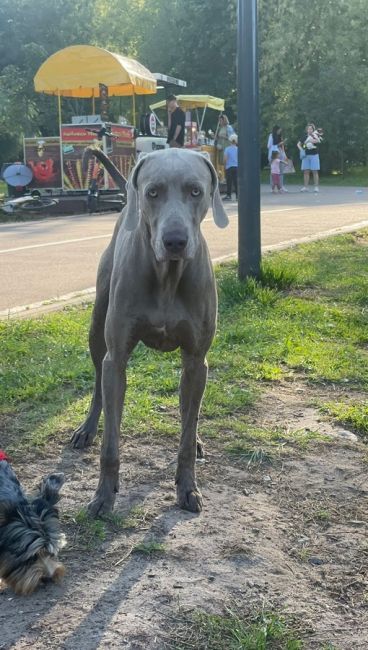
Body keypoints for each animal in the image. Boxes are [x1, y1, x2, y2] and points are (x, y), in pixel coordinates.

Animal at [70, 148, 229, 516]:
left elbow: (186, 430)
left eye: (196, 191)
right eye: (152, 192)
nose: (175, 241)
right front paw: (103, 496)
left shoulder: (197, 359)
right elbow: (111, 443)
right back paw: (87, 428)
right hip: (97, 328)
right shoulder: (116, 359)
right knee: (99, 382)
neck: (167, 277)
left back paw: (196, 438)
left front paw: (188, 488)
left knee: (189, 413)